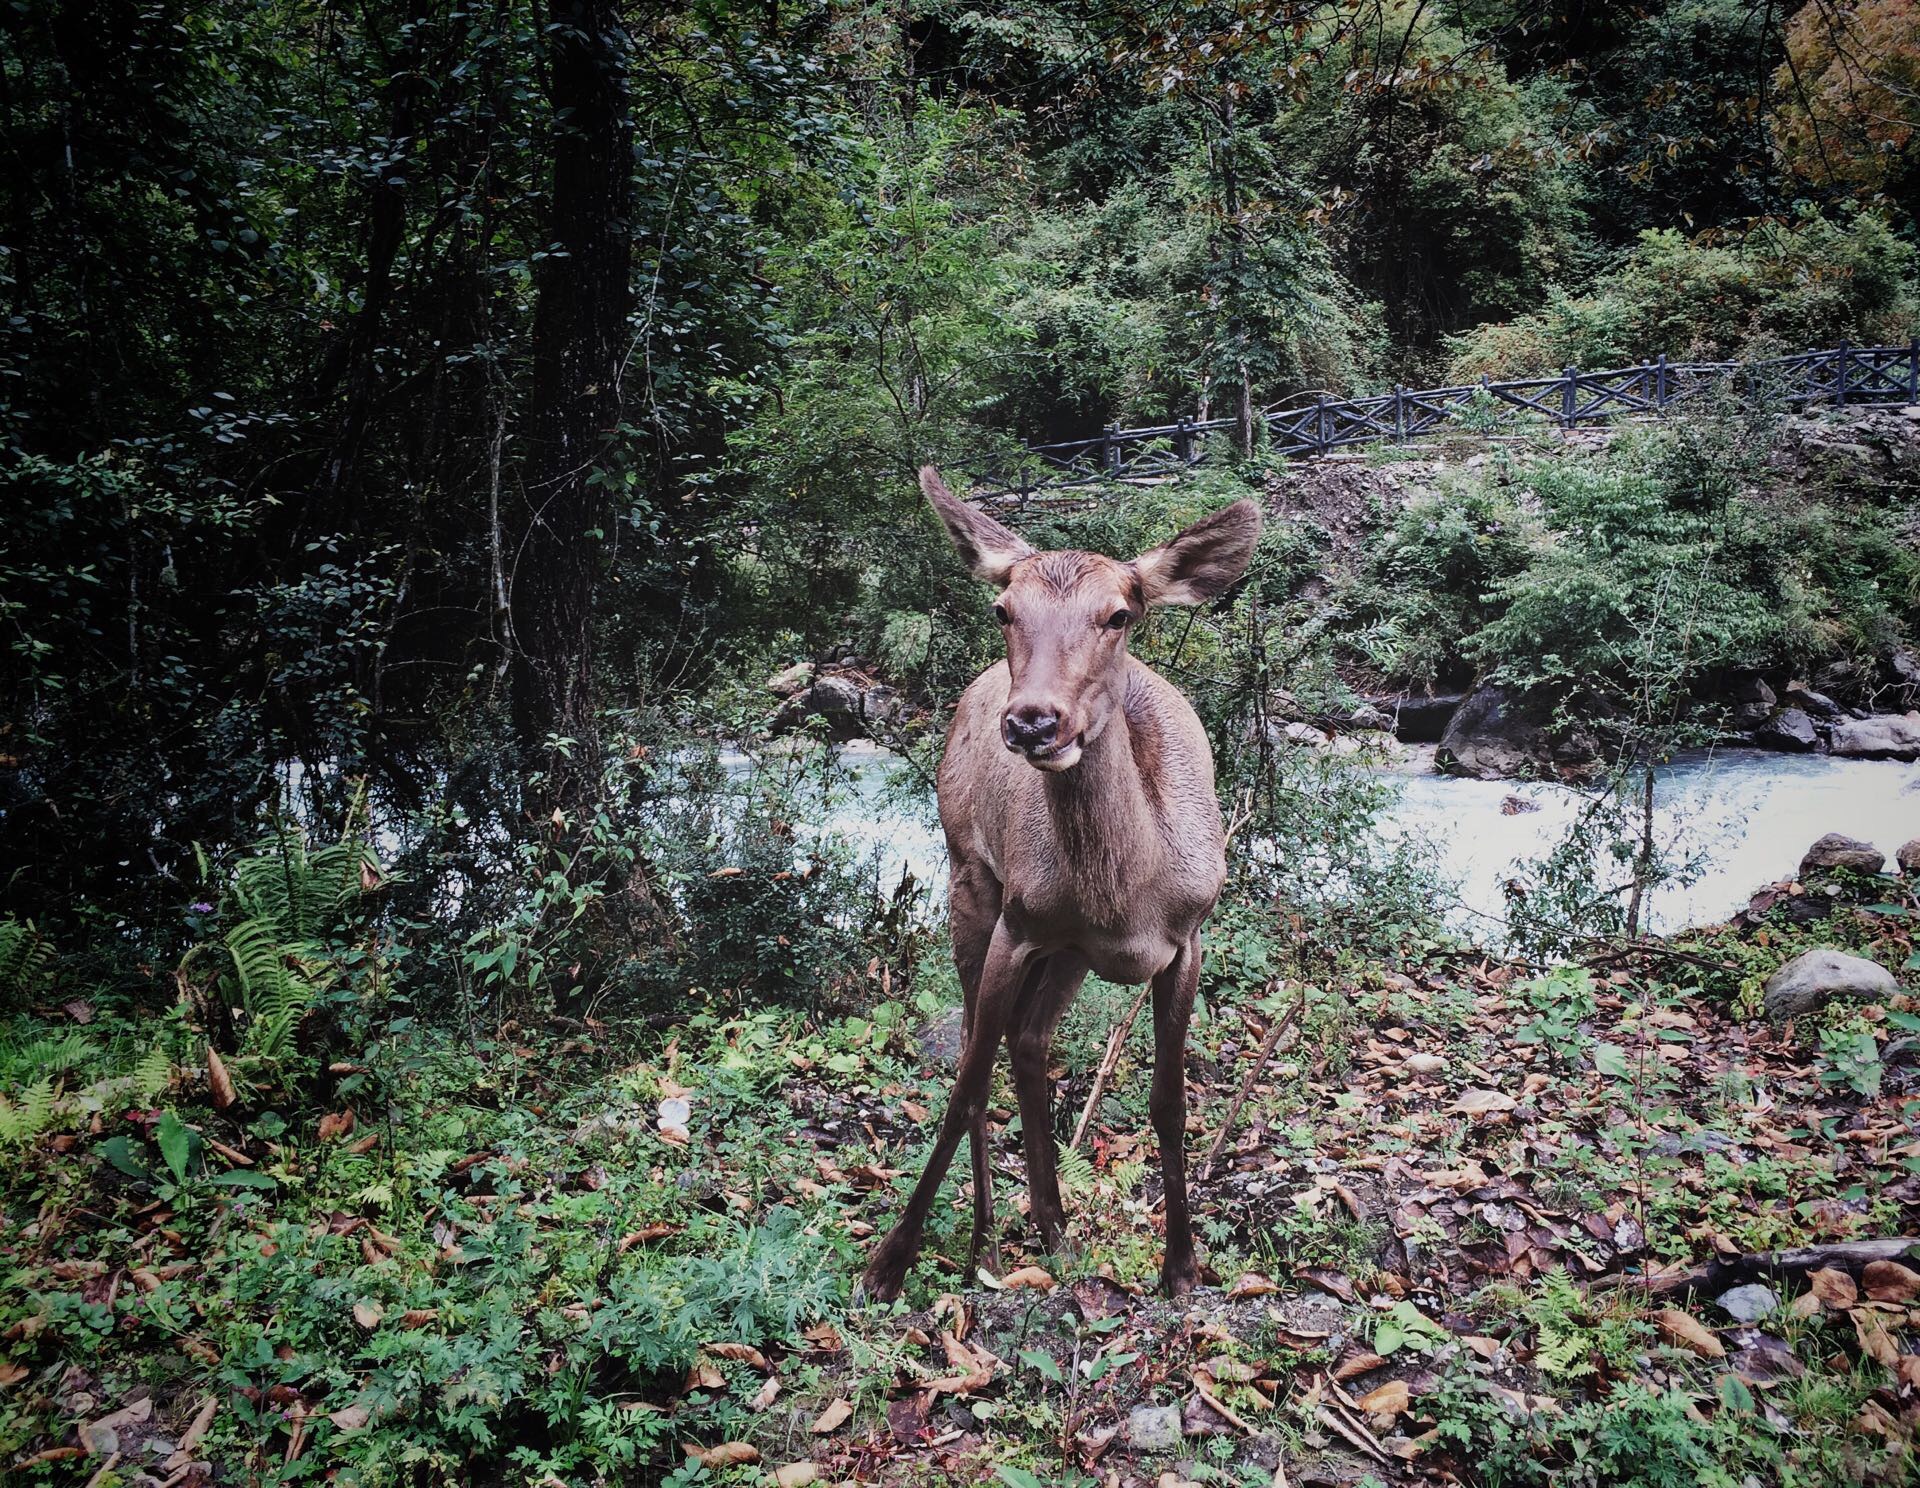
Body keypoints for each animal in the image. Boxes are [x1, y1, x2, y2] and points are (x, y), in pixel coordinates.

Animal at [860, 464, 1259, 1305]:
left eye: (1119, 614)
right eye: (1005, 609)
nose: (1033, 722)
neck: (1126, 898)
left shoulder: (1190, 937)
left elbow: (1169, 1102)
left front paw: (1181, 1267)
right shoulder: (1019, 923)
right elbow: (962, 1087)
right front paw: (890, 1262)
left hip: (1066, 954)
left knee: (1031, 1038)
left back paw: (1052, 1222)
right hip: (968, 878)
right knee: (986, 1051)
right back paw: (989, 1233)